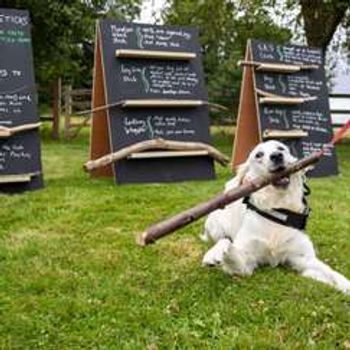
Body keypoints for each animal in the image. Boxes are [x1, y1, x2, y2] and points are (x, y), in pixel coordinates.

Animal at [201, 141, 350, 294]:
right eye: (258, 155)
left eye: (281, 148)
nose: (277, 156)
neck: (279, 209)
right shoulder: (246, 264)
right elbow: (226, 243)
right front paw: (214, 253)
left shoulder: (305, 259)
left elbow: (333, 274)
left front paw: (345, 285)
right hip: (215, 226)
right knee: (220, 237)